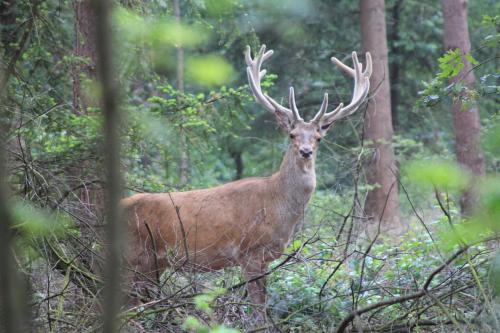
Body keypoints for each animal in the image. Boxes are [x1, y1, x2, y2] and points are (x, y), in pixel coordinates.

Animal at [121, 45, 372, 320]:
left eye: (318, 137)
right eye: (292, 134)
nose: (305, 152)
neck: (278, 203)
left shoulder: (266, 257)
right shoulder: (249, 251)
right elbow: (258, 306)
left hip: (153, 263)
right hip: (136, 255)